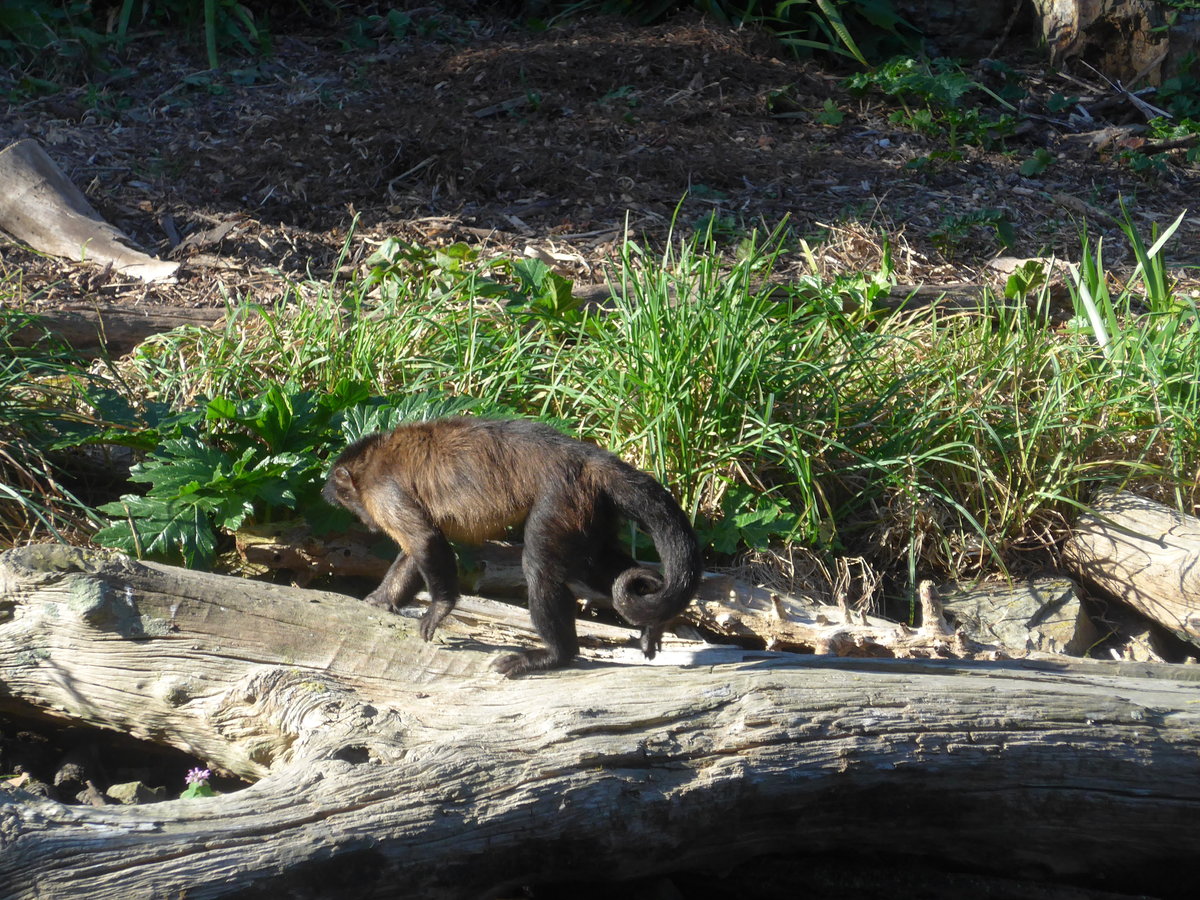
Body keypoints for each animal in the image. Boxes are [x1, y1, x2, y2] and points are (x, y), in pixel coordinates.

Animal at [322, 416, 703, 676]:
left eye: (349, 504)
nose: (365, 522)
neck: (370, 462)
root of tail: (589, 458)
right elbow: (416, 550)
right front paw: (381, 600)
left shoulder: (382, 491)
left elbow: (424, 540)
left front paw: (440, 607)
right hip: (593, 507)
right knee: (593, 563)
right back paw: (654, 624)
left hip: (562, 498)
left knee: (540, 565)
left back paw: (555, 655)